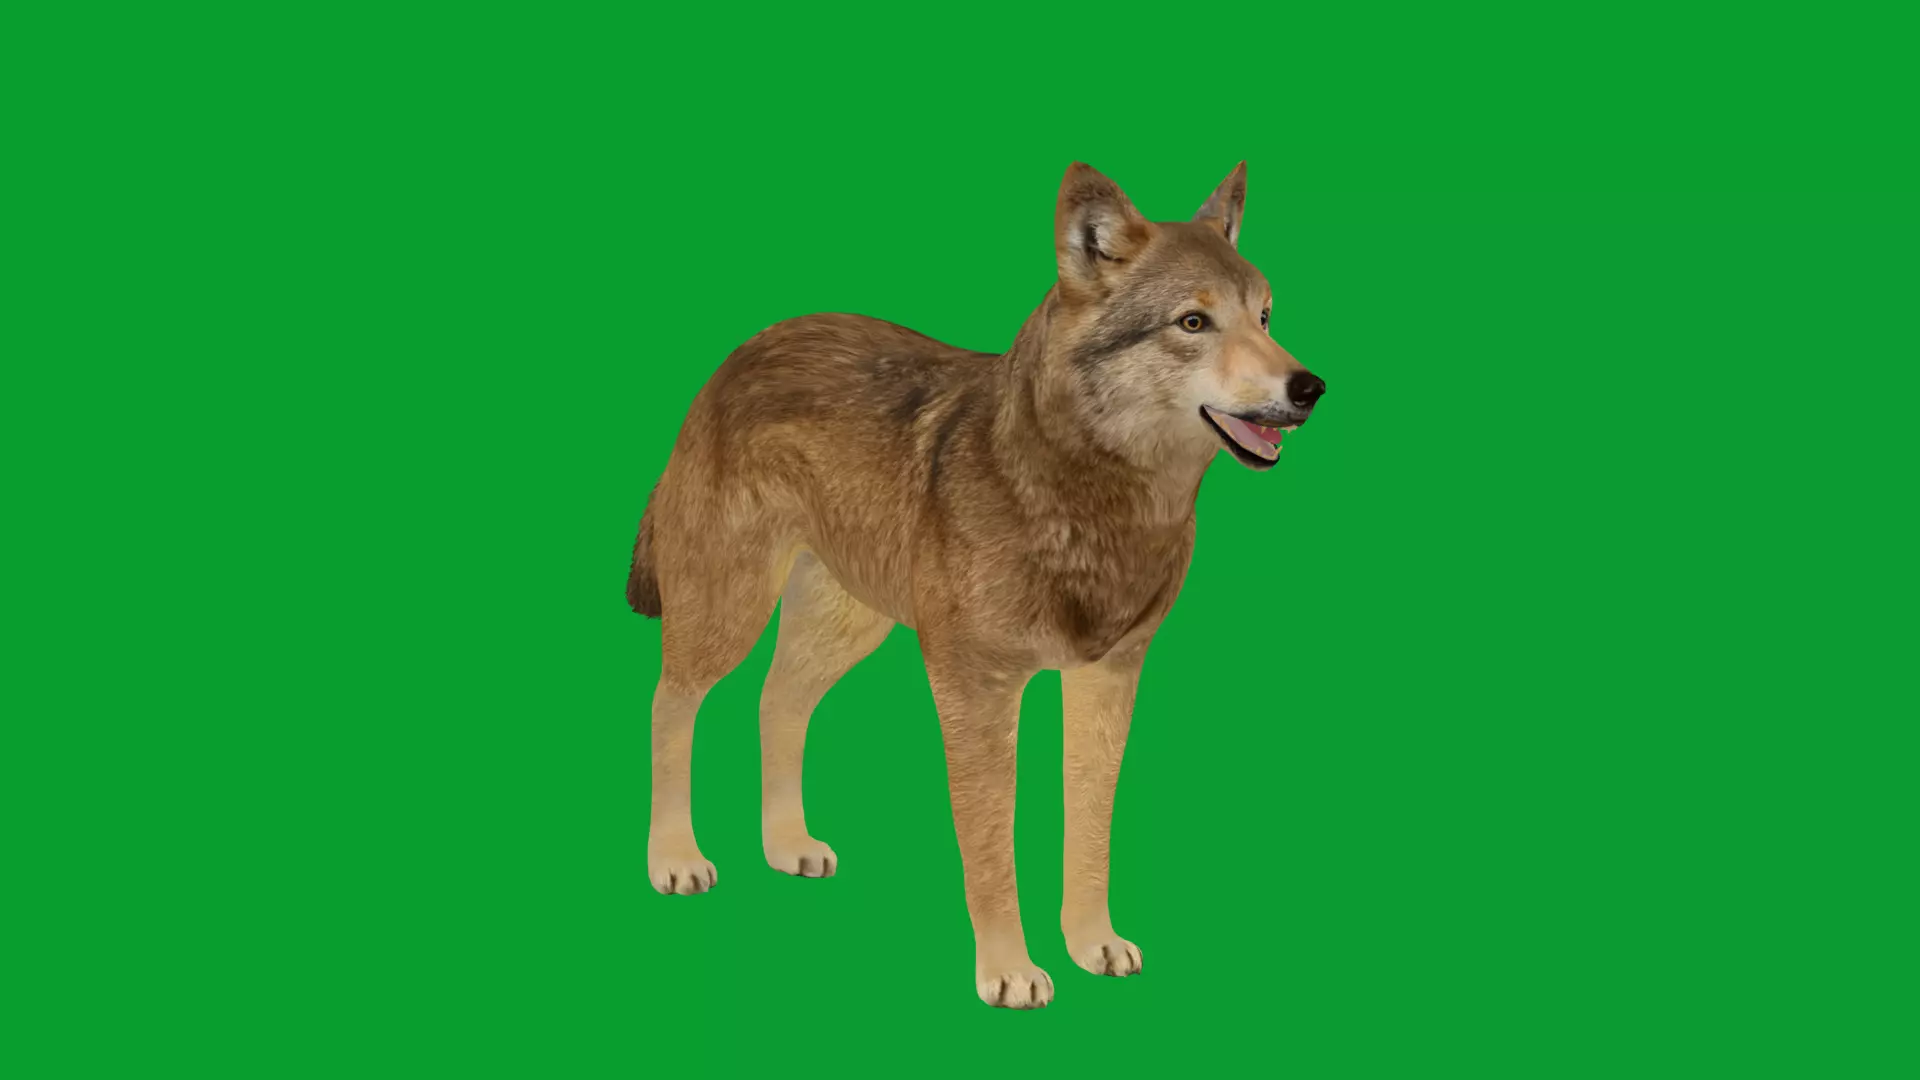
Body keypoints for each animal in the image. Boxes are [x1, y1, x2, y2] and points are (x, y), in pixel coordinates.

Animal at [627, 162, 1327, 1008]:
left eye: (1265, 315)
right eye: (1193, 322)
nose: (1310, 387)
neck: (1091, 501)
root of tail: (736, 355)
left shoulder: (1108, 680)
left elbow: (1089, 828)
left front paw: (1091, 944)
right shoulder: (977, 687)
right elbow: (992, 842)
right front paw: (1010, 971)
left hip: (844, 626)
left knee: (777, 702)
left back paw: (788, 844)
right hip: (728, 610)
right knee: (671, 703)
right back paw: (674, 858)